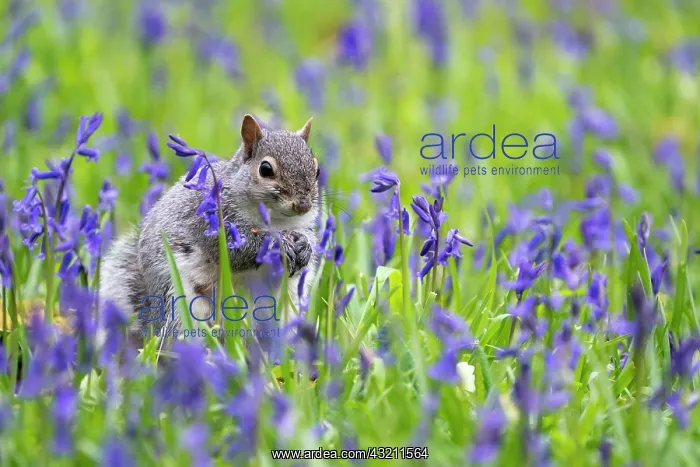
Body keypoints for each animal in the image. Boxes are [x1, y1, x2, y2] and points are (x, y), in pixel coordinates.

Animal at [98, 114, 321, 351]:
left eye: (316, 170)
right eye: (265, 169)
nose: (303, 204)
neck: (277, 221)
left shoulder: (303, 226)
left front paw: (304, 248)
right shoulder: (213, 224)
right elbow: (240, 250)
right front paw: (279, 244)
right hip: (180, 303)